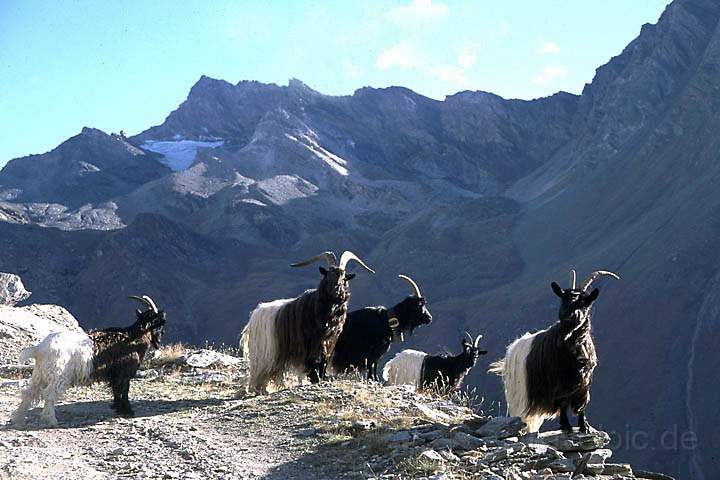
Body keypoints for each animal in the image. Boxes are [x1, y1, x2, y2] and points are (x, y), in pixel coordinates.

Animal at [11, 296, 167, 428]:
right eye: (159, 322)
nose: (161, 337)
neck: (133, 338)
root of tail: (39, 349)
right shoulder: (124, 374)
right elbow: (123, 391)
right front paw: (127, 411)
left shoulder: (116, 376)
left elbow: (116, 392)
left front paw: (119, 409)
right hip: (59, 375)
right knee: (49, 394)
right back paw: (51, 420)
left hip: (39, 374)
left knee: (29, 392)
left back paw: (18, 418)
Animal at [243, 251, 376, 394]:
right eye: (328, 275)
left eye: (344, 277)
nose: (336, 290)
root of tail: (255, 315)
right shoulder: (310, 343)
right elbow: (312, 362)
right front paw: (314, 379)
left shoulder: (329, 342)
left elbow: (323, 361)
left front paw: (322, 378)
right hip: (264, 355)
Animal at [490, 270, 620, 436]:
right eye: (563, 300)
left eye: (584, 302)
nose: (570, 317)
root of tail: (511, 350)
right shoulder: (557, 384)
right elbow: (562, 404)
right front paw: (566, 426)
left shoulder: (584, 383)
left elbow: (582, 405)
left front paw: (584, 427)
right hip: (518, 396)